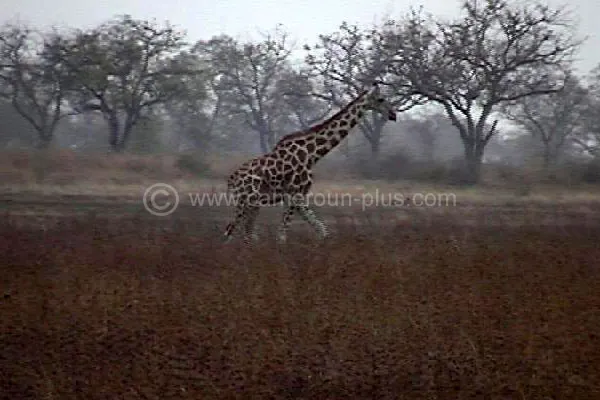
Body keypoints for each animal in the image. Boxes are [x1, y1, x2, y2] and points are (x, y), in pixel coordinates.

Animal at [223, 83, 396, 242]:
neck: (311, 155)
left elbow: (321, 230)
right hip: (247, 201)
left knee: (243, 232)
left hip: (252, 203)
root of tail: (231, 180)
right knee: (232, 231)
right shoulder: (294, 195)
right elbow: (282, 235)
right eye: (381, 99)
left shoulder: (299, 197)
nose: (393, 114)